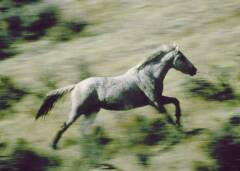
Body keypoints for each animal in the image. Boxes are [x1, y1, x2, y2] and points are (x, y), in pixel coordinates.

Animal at [35, 43, 197, 149]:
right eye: (182, 57)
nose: (194, 70)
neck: (148, 74)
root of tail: (76, 86)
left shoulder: (157, 99)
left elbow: (176, 101)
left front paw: (179, 121)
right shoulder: (155, 102)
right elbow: (168, 116)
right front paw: (180, 131)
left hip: (91, 112)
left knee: (84, 130)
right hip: (77, 111)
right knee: (64, 126)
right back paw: (54, 146)